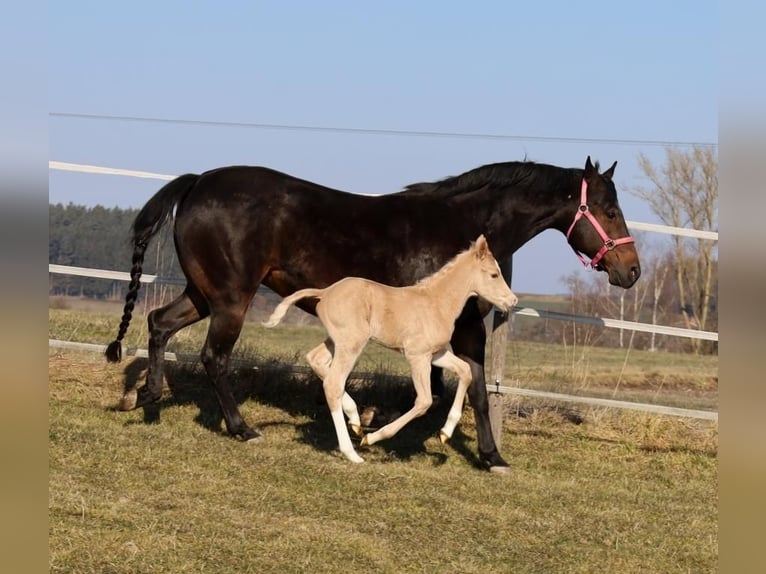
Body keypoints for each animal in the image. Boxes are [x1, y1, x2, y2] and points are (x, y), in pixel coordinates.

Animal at [260, 236, 520, 466]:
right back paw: (352, 451)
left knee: (315, 360)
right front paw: (373, 438)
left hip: (337, 341)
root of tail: (325, 293)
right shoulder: (416, 355)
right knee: (333, 384)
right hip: (352, 343)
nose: (513, 301)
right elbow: (424, 401)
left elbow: (465, 371)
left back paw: (355, 419)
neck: (436, 303)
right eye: (494, 274)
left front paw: (445, 433)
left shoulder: (435, 354)